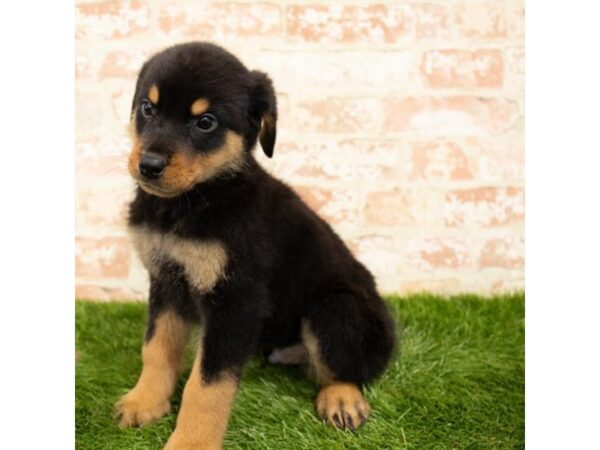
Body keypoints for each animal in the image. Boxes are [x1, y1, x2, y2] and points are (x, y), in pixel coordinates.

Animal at [116, 43, 398, 450]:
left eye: (206, 122)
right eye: (148, 108)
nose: (149, 165)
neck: (198, 200)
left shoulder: (236, 300)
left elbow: (207, 386)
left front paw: (190, 443)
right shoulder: (167, 281)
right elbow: (156, 348)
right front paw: (145, 402)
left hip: (337, 309)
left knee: (350, 368)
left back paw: (341, 399)